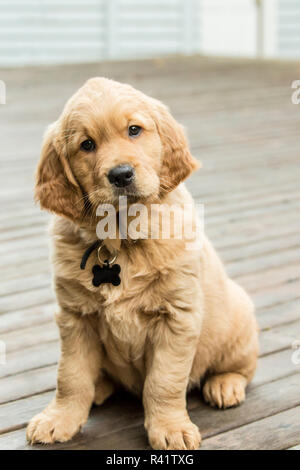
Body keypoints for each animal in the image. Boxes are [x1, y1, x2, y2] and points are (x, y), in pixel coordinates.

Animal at [27, 79, 258, 450]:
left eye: (134, 130)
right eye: (86, 145)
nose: (121, 174)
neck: (120, 239)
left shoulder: (176, 317)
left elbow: (163, 382)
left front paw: (170, 428)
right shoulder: (75, 317)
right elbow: (71, 376)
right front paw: (58, 419)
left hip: (238, 322)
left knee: (242, 367)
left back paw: (225, 384)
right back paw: (100, 387)